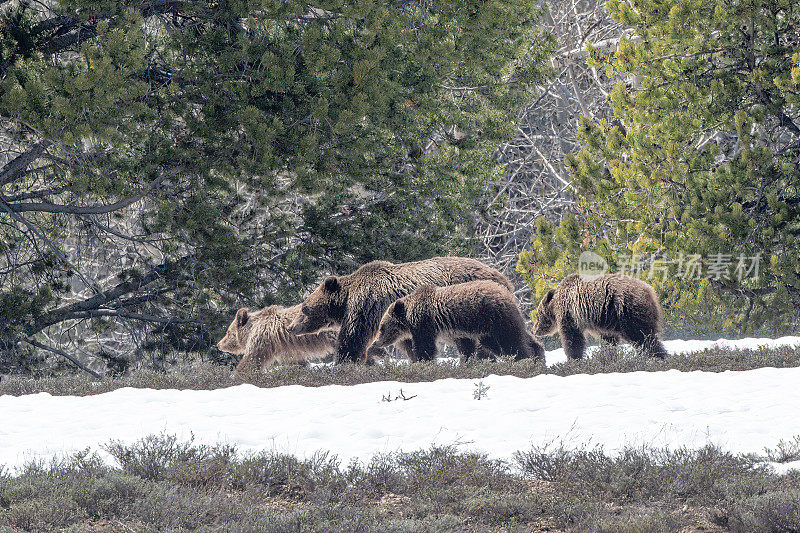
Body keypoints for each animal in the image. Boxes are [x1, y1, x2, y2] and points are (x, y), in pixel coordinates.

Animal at [290, 256, 512, 364]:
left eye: (304, 308)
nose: (292, 327)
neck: (345, 301)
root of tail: (503, 278)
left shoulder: (366, 307)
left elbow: (353, 338)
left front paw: (343, 362)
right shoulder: (399, 323)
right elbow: (408, 344)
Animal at [374, 278, 544, 362]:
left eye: (382, 327)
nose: (376, 342)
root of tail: (508, 294)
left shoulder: (425, 324)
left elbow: (426, 348)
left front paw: (423, 362)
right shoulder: (461, 333)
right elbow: (467, 349)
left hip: (496, 319)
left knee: (511, 342)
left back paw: (525, 360)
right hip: (490, 328)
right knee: (517, 339)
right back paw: (538, 356)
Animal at [532, 272, 668, 360]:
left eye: (538, 316)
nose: (534, 330)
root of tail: (650, 291)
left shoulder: (569, 313)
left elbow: (572, 338)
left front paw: (574, 358)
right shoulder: (606, 320)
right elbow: (608, 339)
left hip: (628, 311)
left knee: (642, 336)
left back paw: (659, 356)